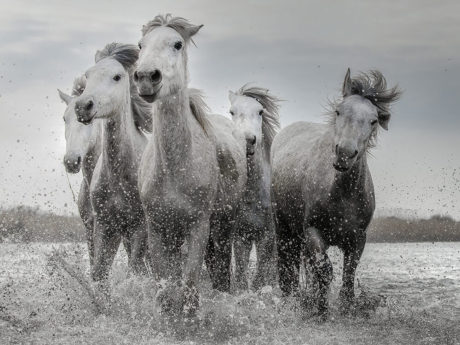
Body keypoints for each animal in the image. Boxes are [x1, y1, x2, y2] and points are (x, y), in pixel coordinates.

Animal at [134, 14, 246, 314]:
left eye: (177, 44)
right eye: (141, 45)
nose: (146, 77)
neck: (176, 168)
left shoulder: (198, 227)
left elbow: (190, 291)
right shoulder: (157, 229)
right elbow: (165, 292)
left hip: (223, 227)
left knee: (220, 270)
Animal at [227, 84, 280, 288]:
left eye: (260, 111)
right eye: (232, 111)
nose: (248, 140)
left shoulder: (267, 237)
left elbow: (260, 275)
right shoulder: (241, 235)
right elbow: (242, 273)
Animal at [272, 68, 400, 320]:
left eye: (373, 120)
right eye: (339, 111)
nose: (345, 154)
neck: (342, 195)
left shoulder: (358, 238)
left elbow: (348, 274)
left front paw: (346, 306)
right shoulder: (312, 231)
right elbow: (324, 270)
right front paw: (321, 309)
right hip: (285, 229)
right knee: (288, 266)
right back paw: (293, 300)